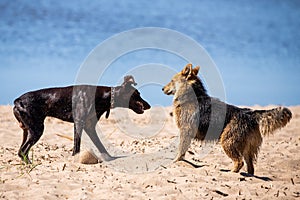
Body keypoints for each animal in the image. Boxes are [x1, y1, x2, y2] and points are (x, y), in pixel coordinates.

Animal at [13, 76, 150, 163]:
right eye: (137, 94)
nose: (148, 105)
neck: (105, 96)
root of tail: (17, 101)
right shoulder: (79, 123)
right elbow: (77, 145)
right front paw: (75, 158)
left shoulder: (89, 126)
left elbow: (99, 144)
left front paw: (109, 158)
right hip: (37, 129)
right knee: (23, 151)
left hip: (28, 131)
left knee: (21, 151)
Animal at [163, 64, 292, 175]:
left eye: (172, 81)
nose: (162, 88)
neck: (191, 95)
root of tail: (250, 114)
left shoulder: (185, 131)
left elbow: (180, 151)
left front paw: (175, 162)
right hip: (247, 149)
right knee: (251, 168)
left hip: (227, 142)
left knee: (239, 162)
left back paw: (230, 173)